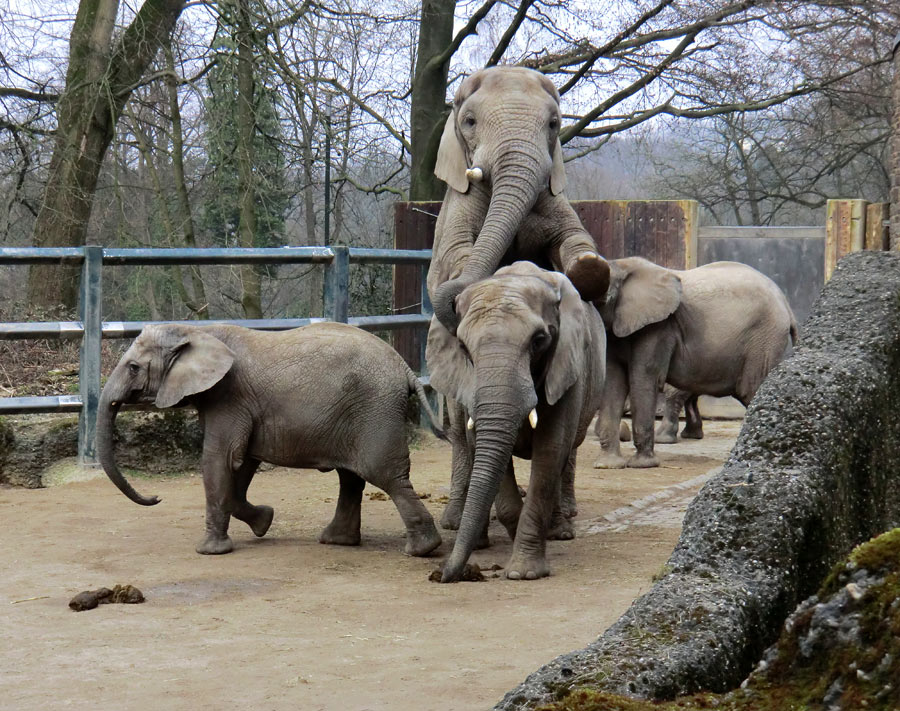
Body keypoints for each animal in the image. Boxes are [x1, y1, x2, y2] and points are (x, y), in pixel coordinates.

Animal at [97, 320, 442, 560]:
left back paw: (422, 549)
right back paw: (337, 541)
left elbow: (220, 459)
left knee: (385, 475)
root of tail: (406, 368)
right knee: (352, 477)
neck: (197, 331)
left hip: (375, 411)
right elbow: (242, 463)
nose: (156, 497)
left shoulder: (228, 396)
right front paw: (264, 522)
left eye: (133, 367)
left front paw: (209, 552)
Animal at [428, 62, 612, 332]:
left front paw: (589, 267)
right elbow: (454, 249)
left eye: (554, 124)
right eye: (469, 122)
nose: (453, 305)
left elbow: (573, 234)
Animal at [428, 262, 604, 584]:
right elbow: (484, 449)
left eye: (539, 341)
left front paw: (524, 573)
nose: (441, 575)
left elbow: (550, 449)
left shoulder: (567, 366)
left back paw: (560, 532)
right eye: (463, 347)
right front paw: (512, 531)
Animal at [596, 258, 800, 470]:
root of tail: (786, 305)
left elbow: (644, 376)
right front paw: (607, 465)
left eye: (604, 298)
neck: (622, 266)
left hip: (764, 341)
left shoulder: (660, 327)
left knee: (752, 391)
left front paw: (642, 465)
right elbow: (613, 379)